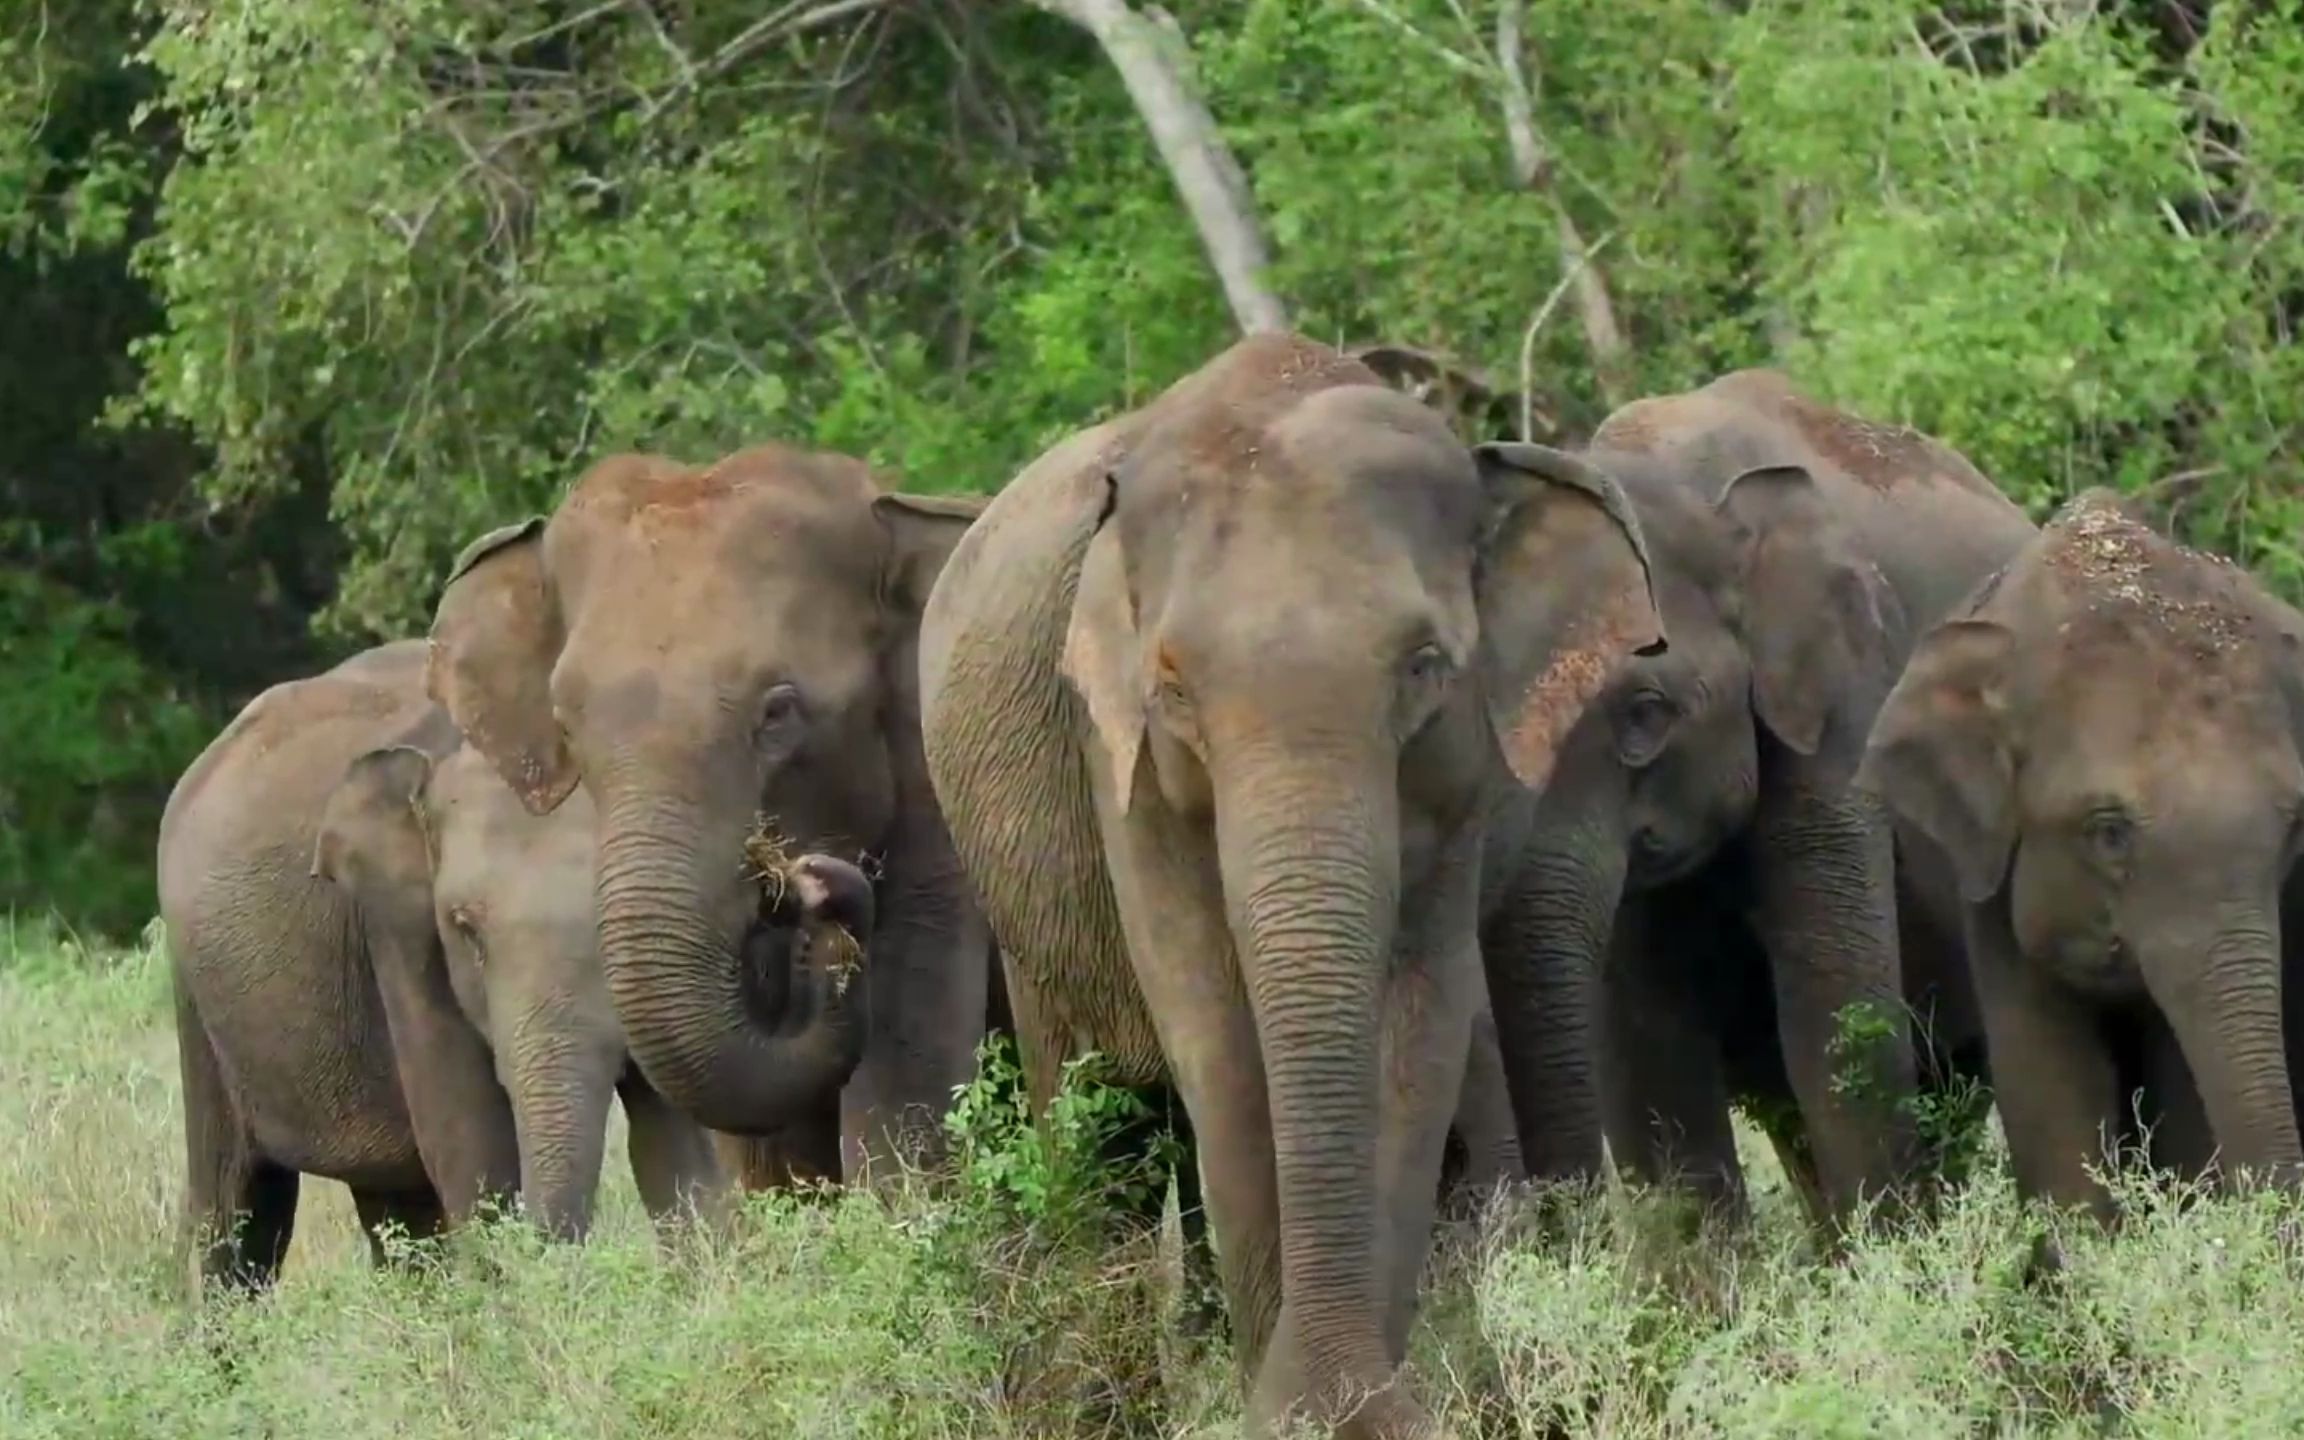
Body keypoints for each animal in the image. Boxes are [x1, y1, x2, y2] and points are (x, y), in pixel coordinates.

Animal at [907, 329, 1668, 1437]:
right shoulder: (1115, 751)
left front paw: (1366, 1404)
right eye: (1174, 686)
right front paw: (1292, 1408)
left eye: (1425, 665)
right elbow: (1216, 1031)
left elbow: (1419, 1024)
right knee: (1104, 1121)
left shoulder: (1462, 784)